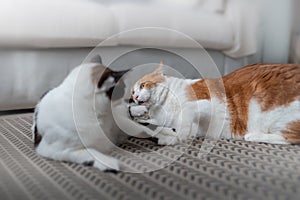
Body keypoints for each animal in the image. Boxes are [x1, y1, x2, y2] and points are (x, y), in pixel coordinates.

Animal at [130, 63, 300, 145]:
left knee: (291, 138)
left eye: (143, 85)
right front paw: (137, 113)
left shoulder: (211, 103)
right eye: (132, 92)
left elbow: (185, 119)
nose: (136, 96)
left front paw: (171, 139)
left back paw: (253, 136)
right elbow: (164, 126)